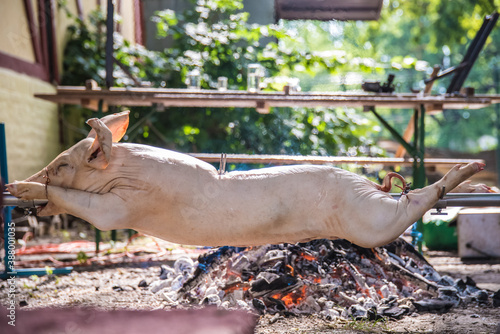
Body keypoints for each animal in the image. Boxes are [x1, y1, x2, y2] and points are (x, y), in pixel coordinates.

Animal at [5, 111, 486, 248]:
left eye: (61, 165)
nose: (16, 182)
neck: (126, 169)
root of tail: (363, 183)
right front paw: (16, 189)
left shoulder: (125, 206)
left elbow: (89, 208)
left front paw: (21, 190)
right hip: (365, 210)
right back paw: (479, 184)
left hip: (366, 220)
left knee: (409, 207)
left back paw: (471, 171)